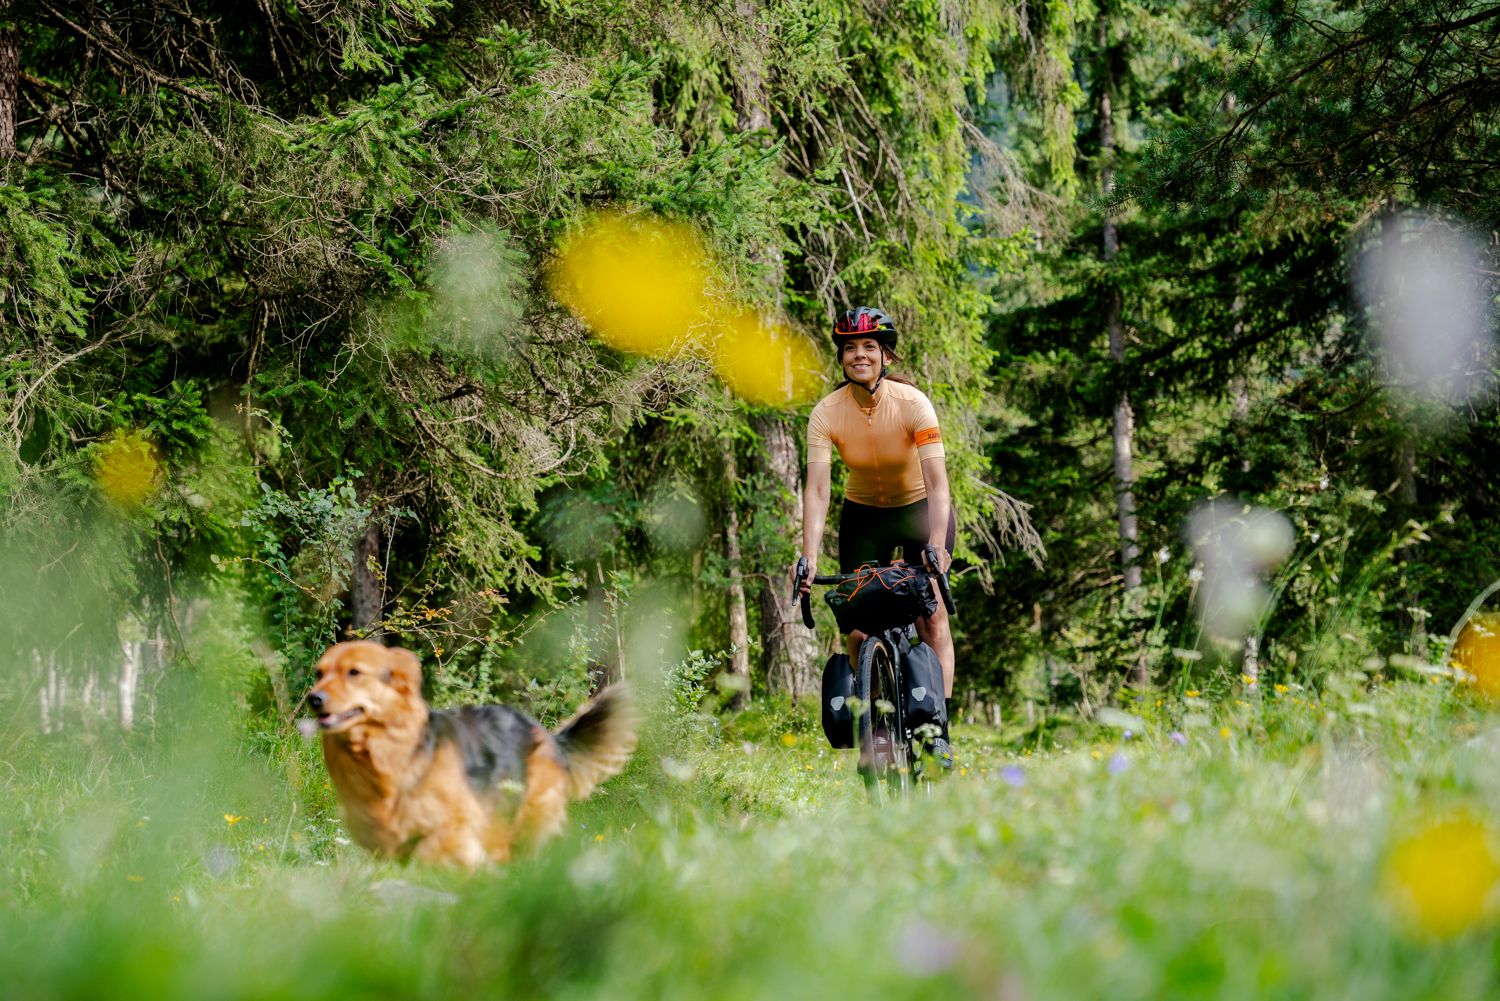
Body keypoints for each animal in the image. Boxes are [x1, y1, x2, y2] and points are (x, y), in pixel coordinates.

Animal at [307, 642, 636, 870]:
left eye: (354, 672)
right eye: (319, 673)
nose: (314, 698)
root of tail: (547, 736)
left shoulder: (457, 823)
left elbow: (438, 849)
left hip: (528, 814)